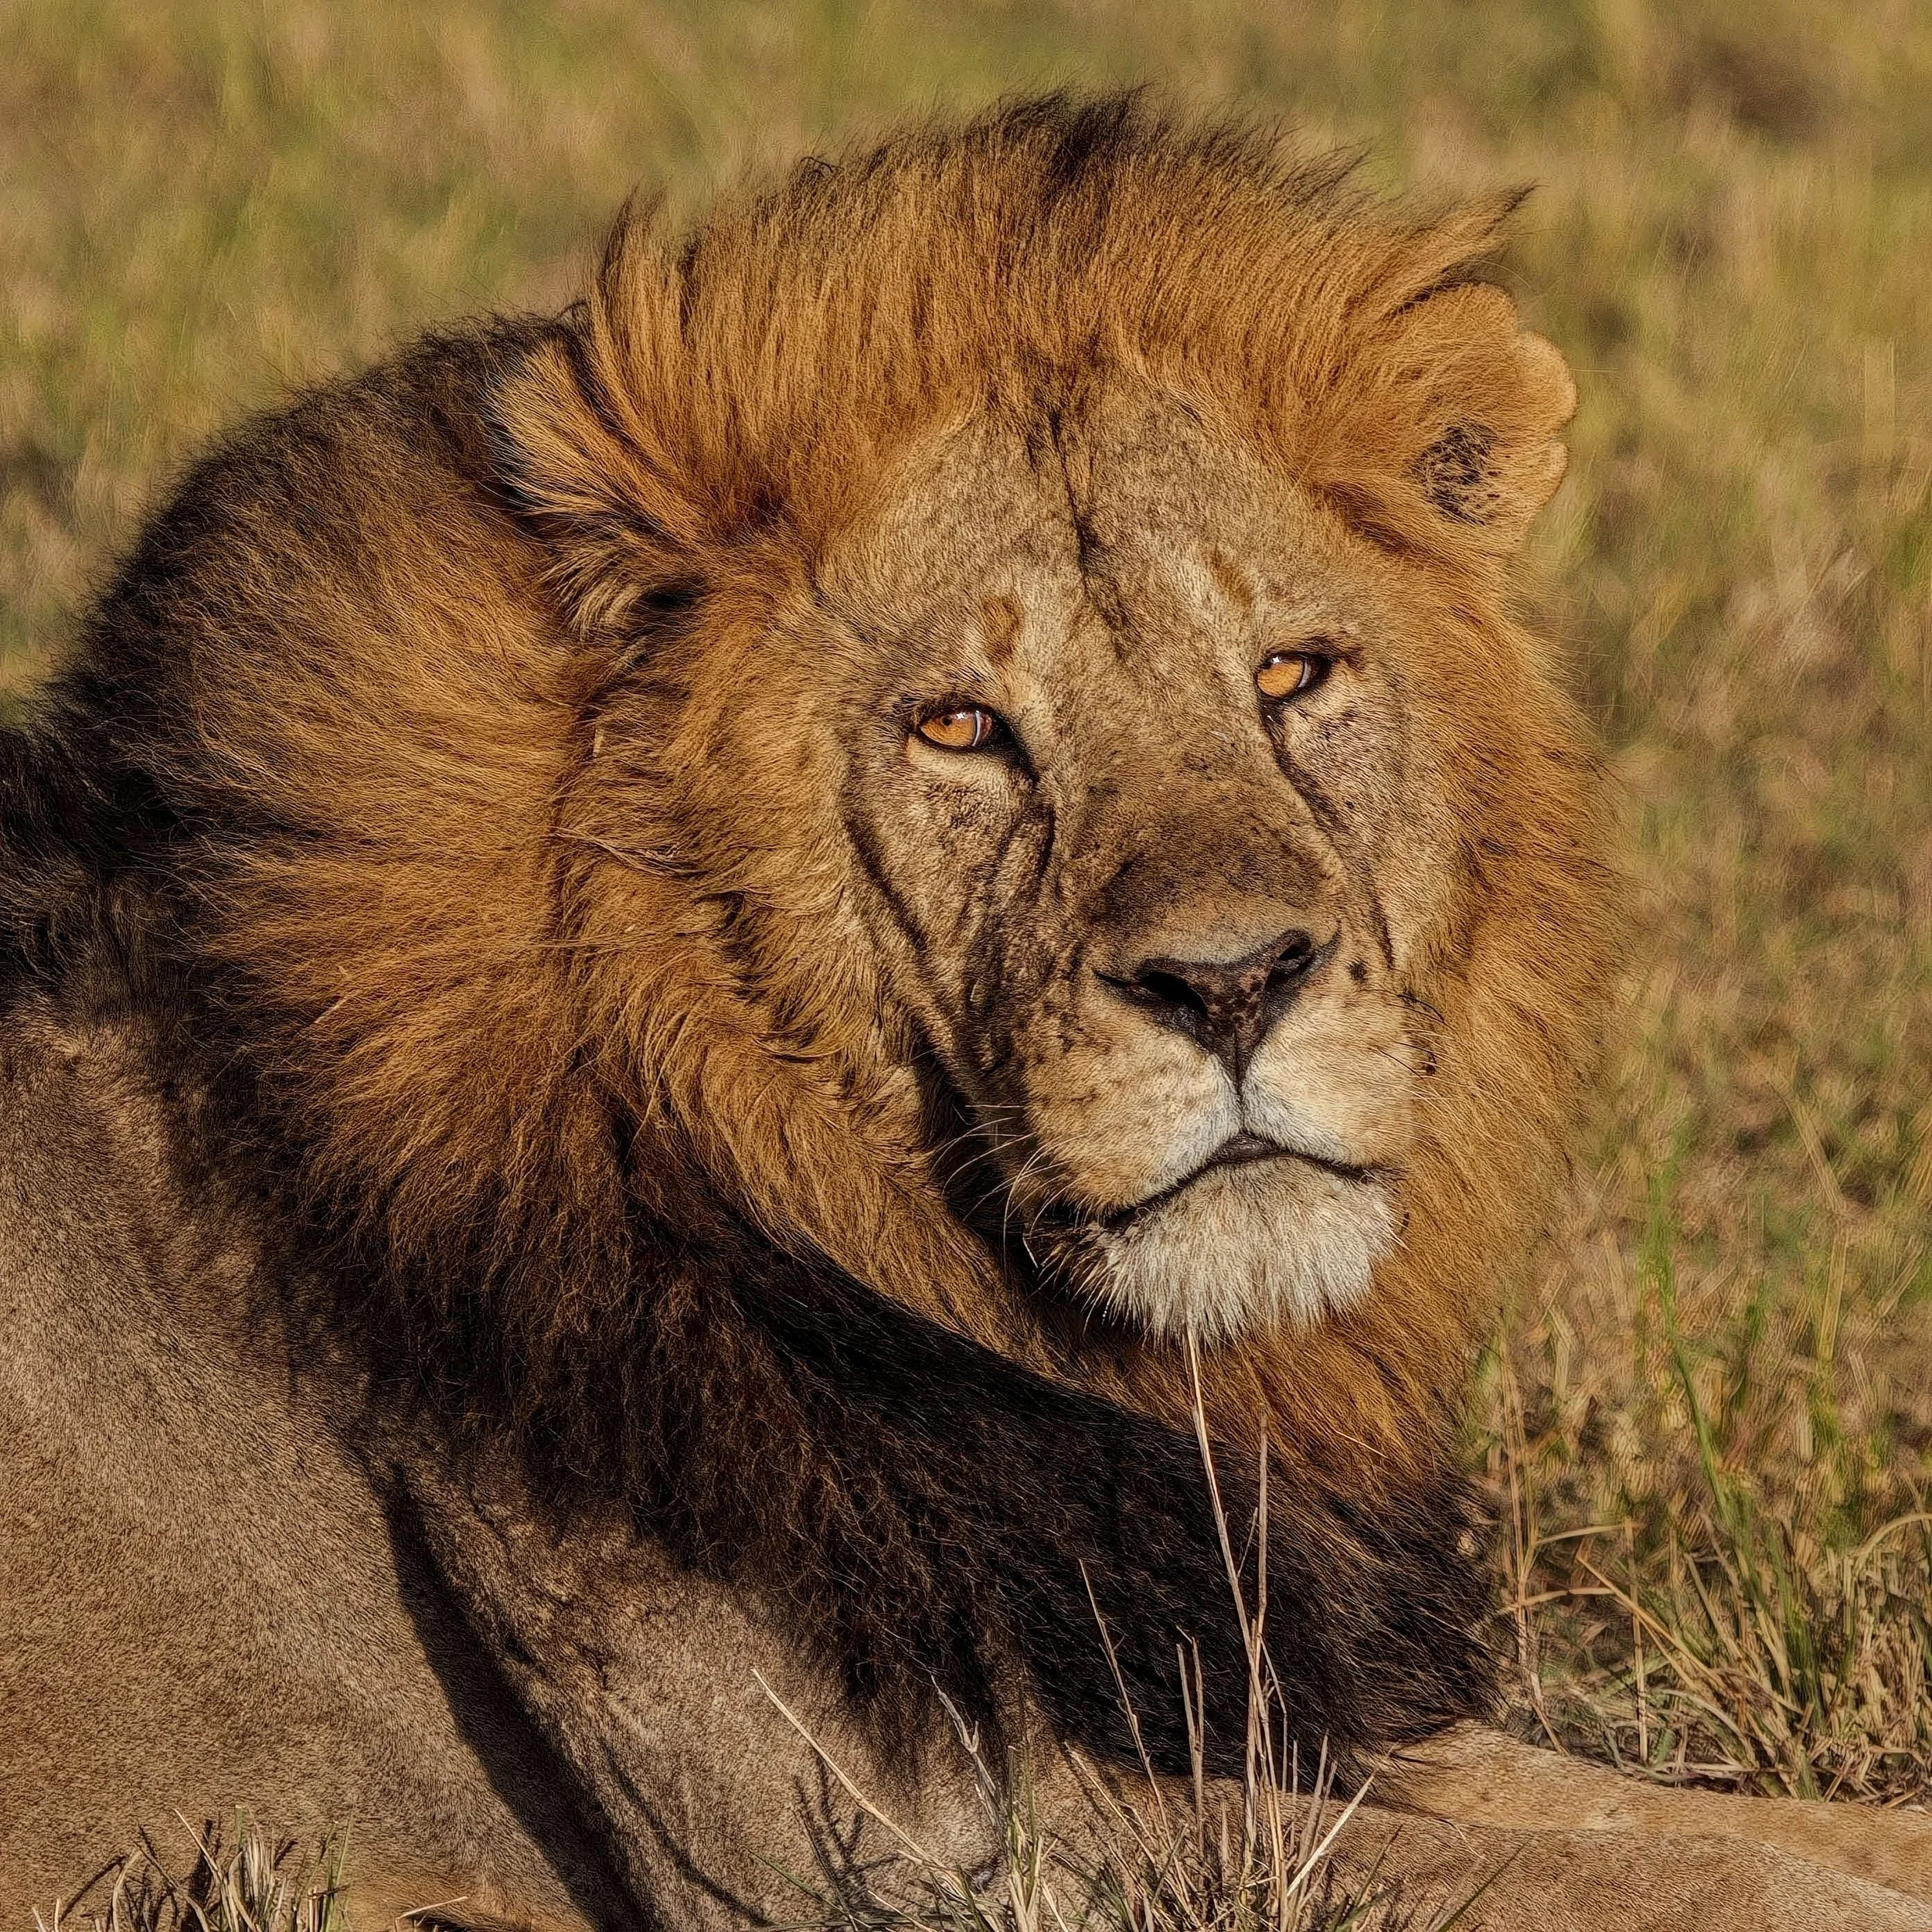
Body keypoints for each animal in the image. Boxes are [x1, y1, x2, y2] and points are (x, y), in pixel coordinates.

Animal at [1, 96, 1927, 1932]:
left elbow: (1695, 1816)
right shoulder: (894, 1838)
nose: (1230, 982)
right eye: (959, 728)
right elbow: (1670, 1874)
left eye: (1289, 673)